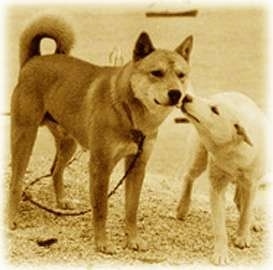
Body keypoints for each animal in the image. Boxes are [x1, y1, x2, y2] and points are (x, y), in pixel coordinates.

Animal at [8, 15, 193, 254]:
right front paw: (102, 243)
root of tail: (34, 60)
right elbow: (101, 209)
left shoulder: (137, 166)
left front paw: (133, 240)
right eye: (157, 73)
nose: (176, 93)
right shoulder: (101, 165)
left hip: (69, 143)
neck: (128, 112)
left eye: (181, 75)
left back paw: (61, 201)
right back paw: (10, 219)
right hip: (25, 136)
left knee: (56, 170)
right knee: (16, 181)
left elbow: (131, 209)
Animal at [175, 92, 266, 264]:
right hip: (198, 157)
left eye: (215, 110)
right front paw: (221, 254)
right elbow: (219, 227)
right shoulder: (216, 187)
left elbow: (246, 213)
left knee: (242, 203)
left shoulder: (251, 183)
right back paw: (182, 208)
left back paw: (253, 222)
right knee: (188, 177)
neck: (231, 150)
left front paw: (242, 237)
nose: (187, 97)